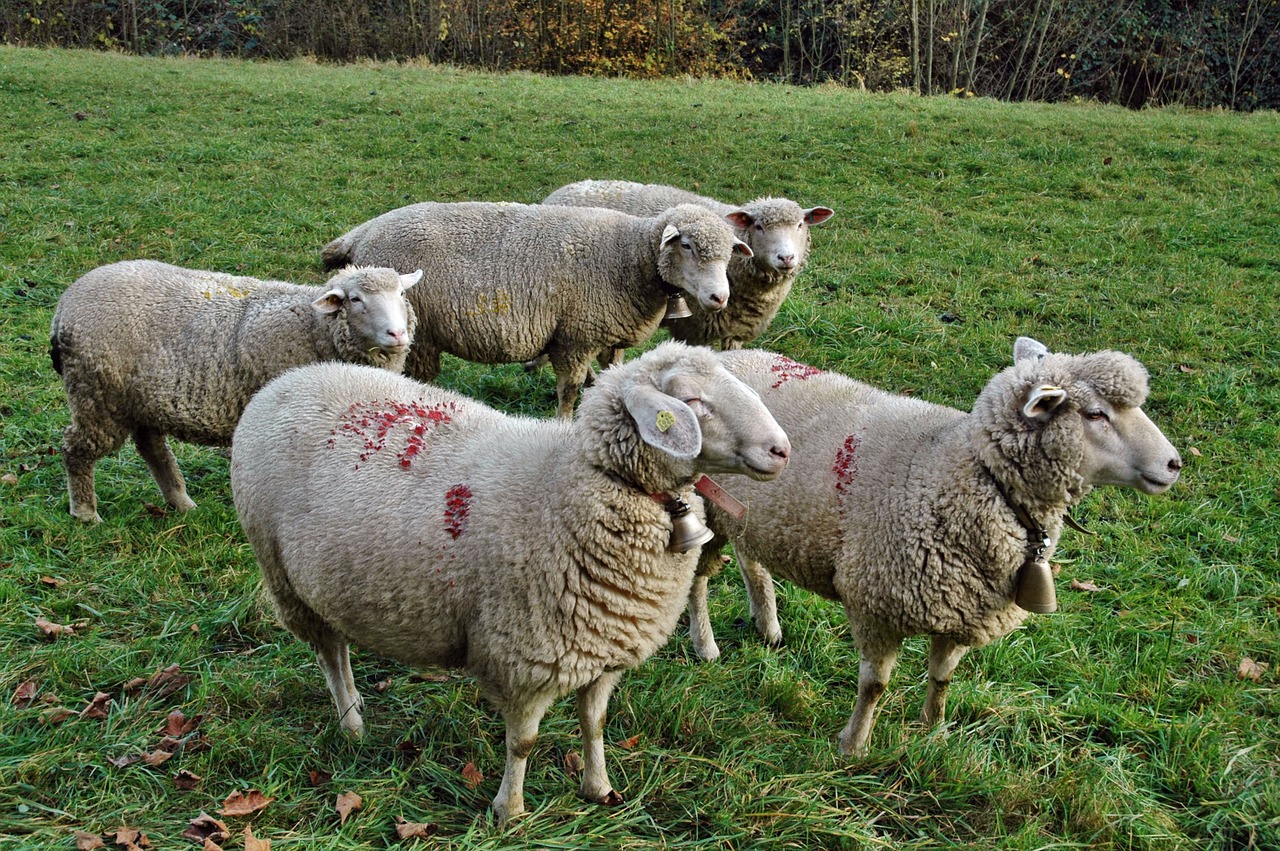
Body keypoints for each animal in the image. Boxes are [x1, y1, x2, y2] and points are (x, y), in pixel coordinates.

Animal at [230, 340, 788, 824]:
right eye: (693, 402)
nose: (782, 450)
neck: (572, 483)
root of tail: (287, 380)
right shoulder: (525, 656)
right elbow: (522, 743)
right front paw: (509, 812)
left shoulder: (606, 646)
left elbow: (594, 724)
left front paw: (599, 788)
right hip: (283, 577)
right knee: (329, 653)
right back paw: (351, 722)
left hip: (329, 581)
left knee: (340, 646)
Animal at [320, 199, 752, 417]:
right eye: (687, 245)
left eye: (729, 252)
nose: (720, 298)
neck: (628, 256)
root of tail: (360, 234)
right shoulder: (575, 337)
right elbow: (569, 390)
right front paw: (564, 421)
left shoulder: (610, 336)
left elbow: (609, 376)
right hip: (415, 331)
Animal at [542, 177, 834, 350]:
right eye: (759, 226)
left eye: (800, 225)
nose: (786, 258)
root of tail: (564, 190)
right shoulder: (693, 329)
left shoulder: (735, 332)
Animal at [686, 335, 1182, 752]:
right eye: (1096, 414)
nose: (1174, 464)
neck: (966, 472)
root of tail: (723, 356)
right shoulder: (877, 602)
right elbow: (874, 687)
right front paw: (853, 746)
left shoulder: (965, 611)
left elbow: (942, 678)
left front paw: (934, 732)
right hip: (704, 506)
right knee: (697, 582)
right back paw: (705, 646)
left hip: (753, 513)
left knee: (751, 561)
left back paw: (768, 626)